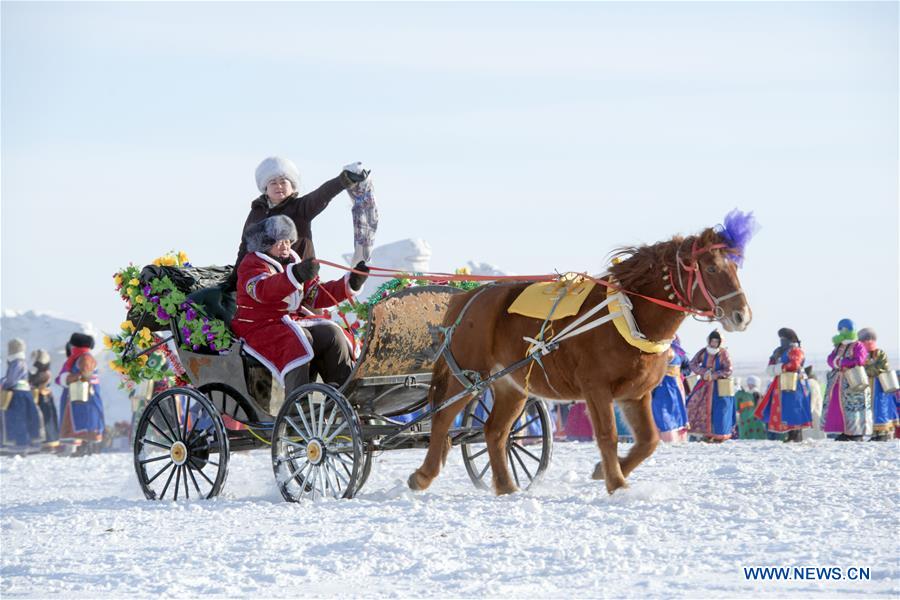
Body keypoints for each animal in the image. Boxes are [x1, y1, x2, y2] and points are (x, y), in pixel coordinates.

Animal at [412, 213, 756, 494]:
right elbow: (607, 435)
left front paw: (604, 470)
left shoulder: (636, 394)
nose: (742, 316)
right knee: (443, 418)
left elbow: (649, 440)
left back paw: (506, 487)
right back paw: (423, 476)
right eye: (711, 267)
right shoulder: (596, 388)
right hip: (470, 376)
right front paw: (616, 483)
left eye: (735, 268)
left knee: (495, 431)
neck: (628, 314)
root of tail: (467, 296)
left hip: (512, 385)